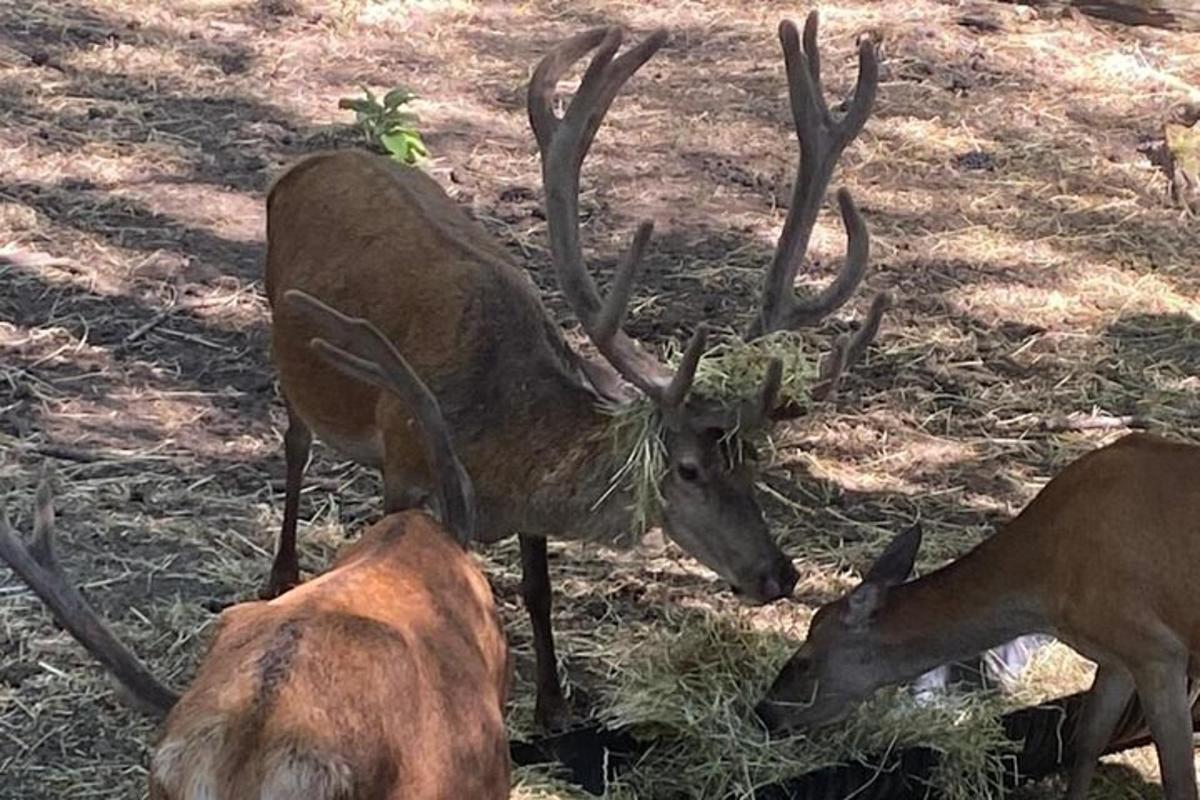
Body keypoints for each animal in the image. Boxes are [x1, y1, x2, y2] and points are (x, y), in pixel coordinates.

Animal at [265, 9, 883, 729]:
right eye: (689, 469)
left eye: (753, 457)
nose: (781, 574)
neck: (496, 445)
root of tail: (305, 165)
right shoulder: (403, 459)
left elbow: (539, 587)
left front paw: (554, 703)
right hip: (280, 327)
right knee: (295, 441)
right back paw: (280, 573)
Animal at [753, 438, 1200, 800]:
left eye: (804, 660)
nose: (764, 713)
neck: (1048, 584)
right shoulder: (1116, 653)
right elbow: (1088, 739)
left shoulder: (1156, 648)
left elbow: (1179, 782)